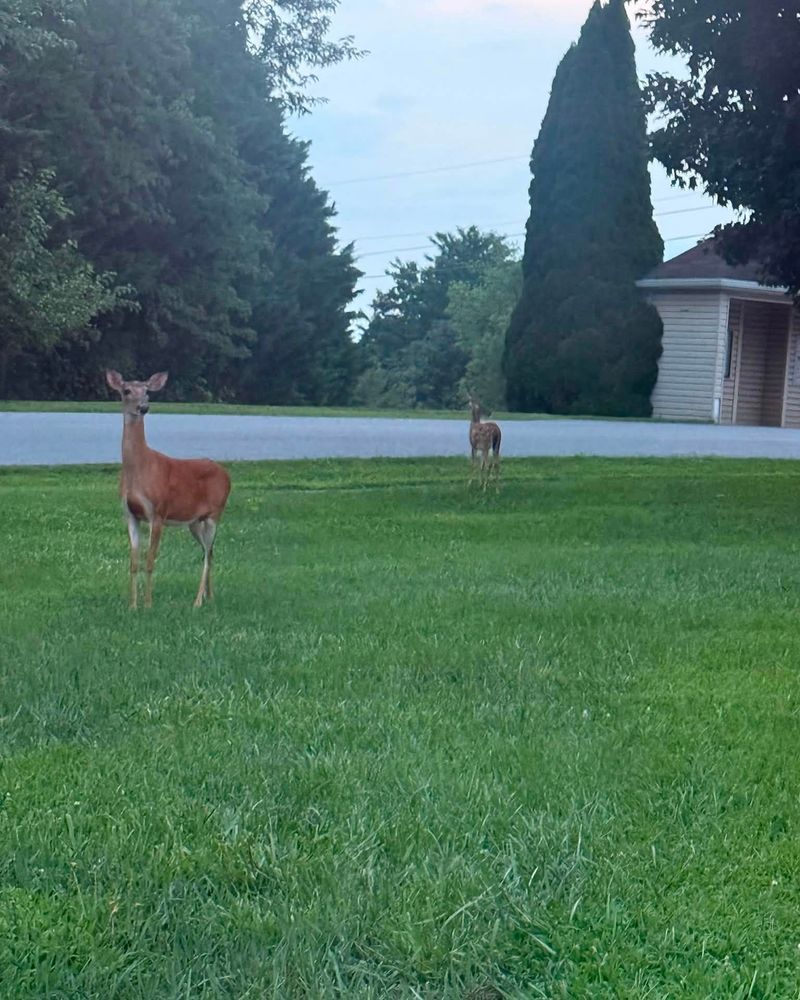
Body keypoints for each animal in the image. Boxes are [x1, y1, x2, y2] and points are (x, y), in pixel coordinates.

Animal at [105, 370, 231, 609]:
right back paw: (210, 597)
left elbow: (150, 560)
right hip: (195, 521)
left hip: (215, 513)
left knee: (207, 553)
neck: (139, 470)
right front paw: (132, 605)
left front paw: (147, 604)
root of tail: (227, 474)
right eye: (126, 390)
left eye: (147, 391)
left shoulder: (158, 512)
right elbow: (133, 562)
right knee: (209, 552)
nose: (143, 407)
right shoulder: (130, 514)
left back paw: (197, 601)